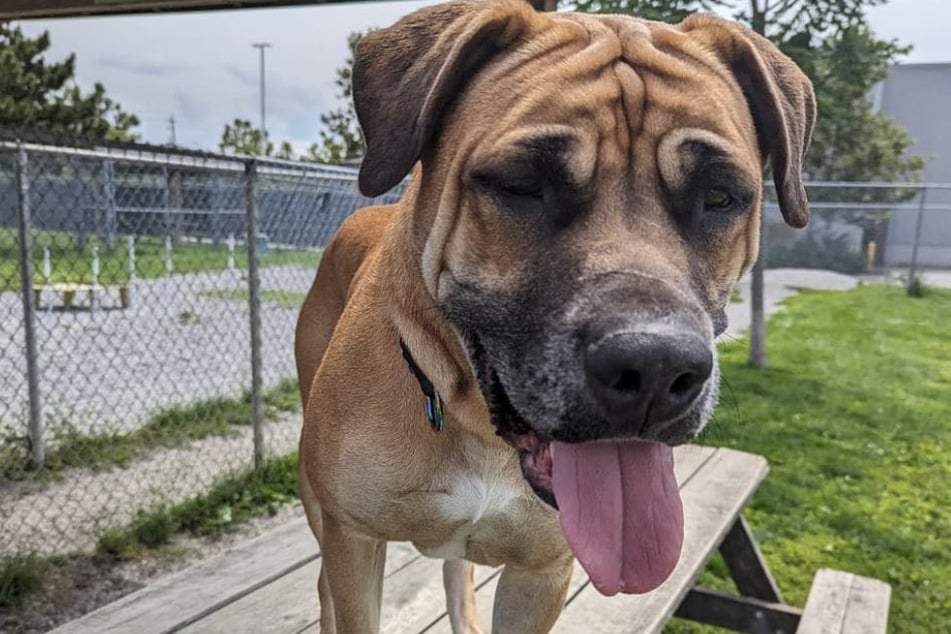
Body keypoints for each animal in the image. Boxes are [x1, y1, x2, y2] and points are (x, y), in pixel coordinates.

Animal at [296, 2, 812, 628]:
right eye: (522, 185)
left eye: (720, 196)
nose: (655, 369)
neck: (480, 433)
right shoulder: (353, 544)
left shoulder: (541, 573)